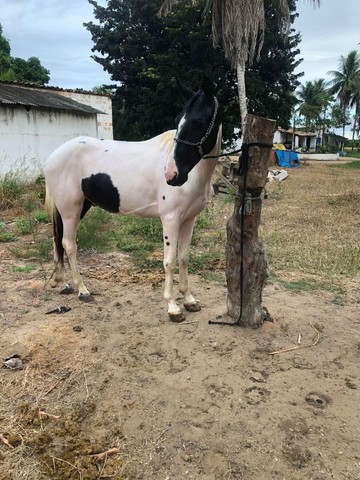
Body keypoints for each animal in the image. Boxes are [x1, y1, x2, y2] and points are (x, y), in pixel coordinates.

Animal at [43, 76, 221, 322]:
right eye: (178, 120)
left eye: (199, 121)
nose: (172, 175)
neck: (194, 174)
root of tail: (53, 155)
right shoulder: (170, 219)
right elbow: (170, 262)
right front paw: (173, 307)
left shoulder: (189, 220)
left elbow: (184, 258)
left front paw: (189, 300)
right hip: (71, 210)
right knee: (68, 245)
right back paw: (82, 290)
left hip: (73, 208)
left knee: (56, 241)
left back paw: (63, 284)